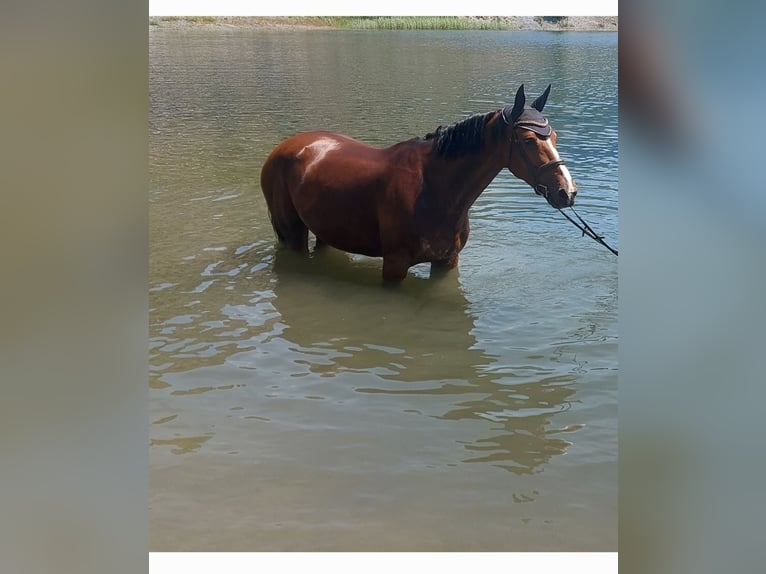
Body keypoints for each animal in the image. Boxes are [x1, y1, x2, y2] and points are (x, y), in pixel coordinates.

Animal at [260, 84, 580, 284]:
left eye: (554, 137)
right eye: (528, 140)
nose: (567, 191)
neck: (434, 189)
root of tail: (284, 148)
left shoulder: (447, 262)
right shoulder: (394, 266)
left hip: (325, 229)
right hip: (292, 233)